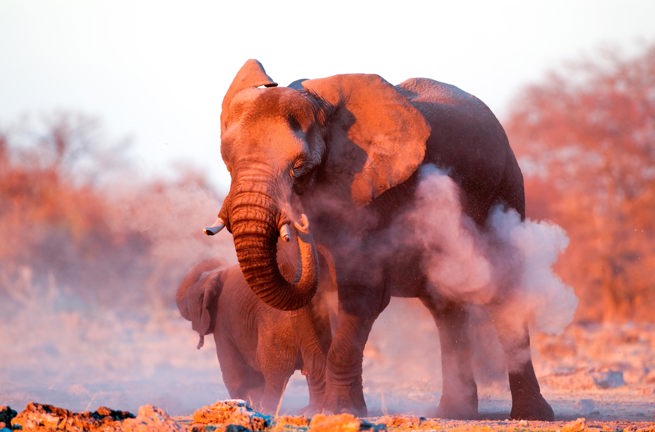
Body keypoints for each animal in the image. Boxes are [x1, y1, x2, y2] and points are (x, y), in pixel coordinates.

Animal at [176, 223, 336, 415]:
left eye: (188, 303)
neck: (216, 276)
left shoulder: (223, 323)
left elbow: (235, 375)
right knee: (313, 370)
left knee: (275, 377)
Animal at [204, 59, 555, 420]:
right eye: (228, 161)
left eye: (300, 167)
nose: (300, 223)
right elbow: (306, 303)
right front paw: (315, 410)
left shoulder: (373, 195)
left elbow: (362, 295)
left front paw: (341, 411)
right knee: (445, 306)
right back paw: (454, 412)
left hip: (506, 191)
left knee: (504, 294)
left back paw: (531, 415)